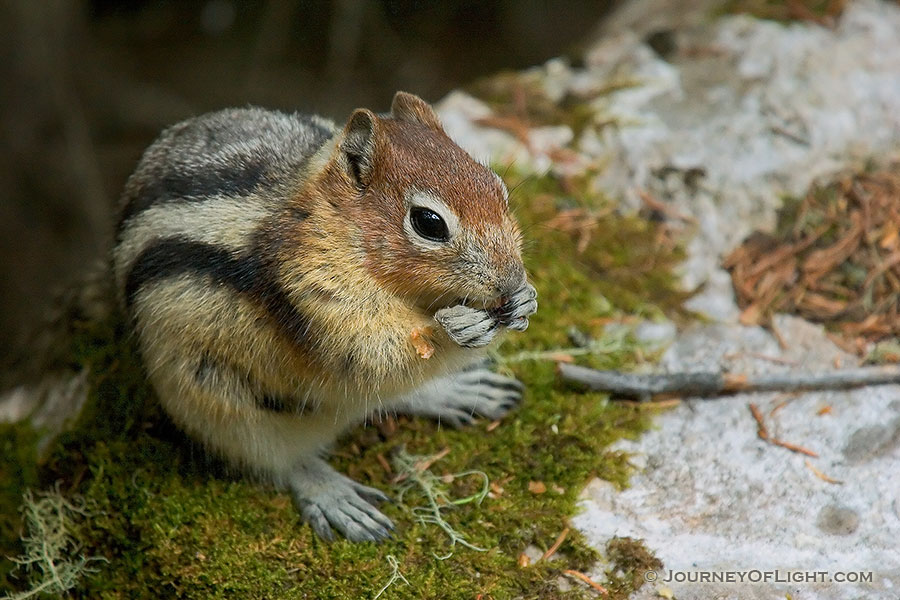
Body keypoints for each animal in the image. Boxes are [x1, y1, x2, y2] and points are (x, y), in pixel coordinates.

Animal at [112, 91, 536, 540]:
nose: (511, 279)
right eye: (429, 223)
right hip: (213, 402)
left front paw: (525, 299)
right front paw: (458, 329)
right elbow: (373, 353)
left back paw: (459, 391)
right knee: (276, 455)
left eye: (499, 188)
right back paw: (334, 496)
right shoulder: (314, 291)